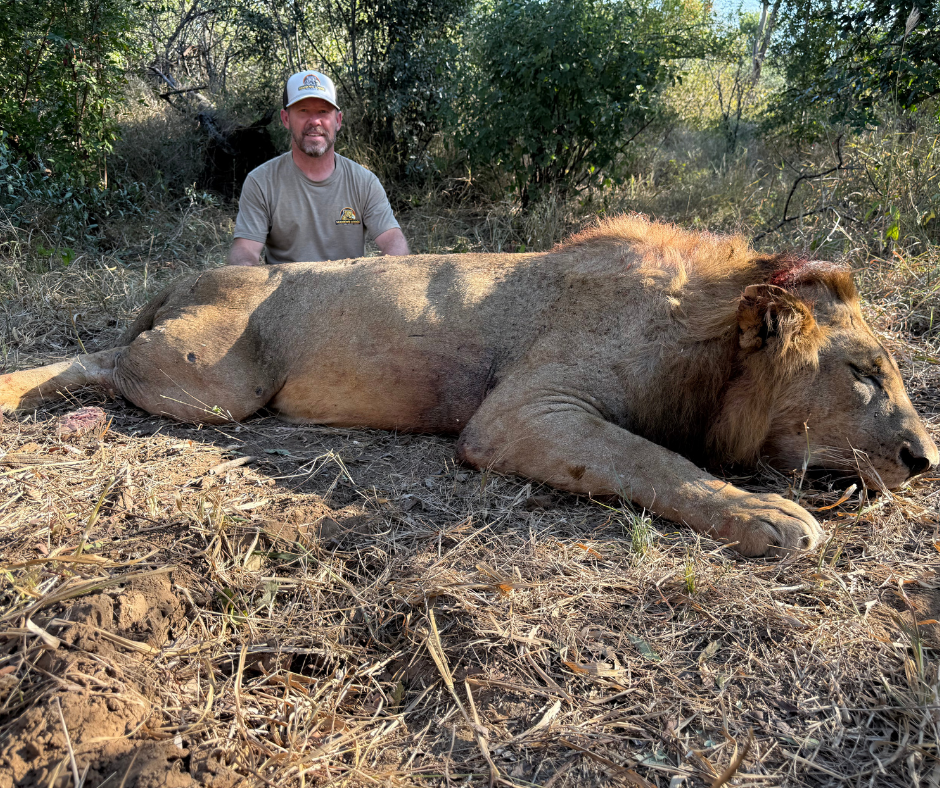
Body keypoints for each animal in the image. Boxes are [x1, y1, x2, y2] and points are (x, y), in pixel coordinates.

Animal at [2, 215, 936, 556]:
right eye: (862, 372)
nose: (924, 460)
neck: (711, 336)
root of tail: (182, 276)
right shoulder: (522, 410)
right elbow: (654, 462)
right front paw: (772, 516)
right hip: (212, 383)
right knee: (105, 360)